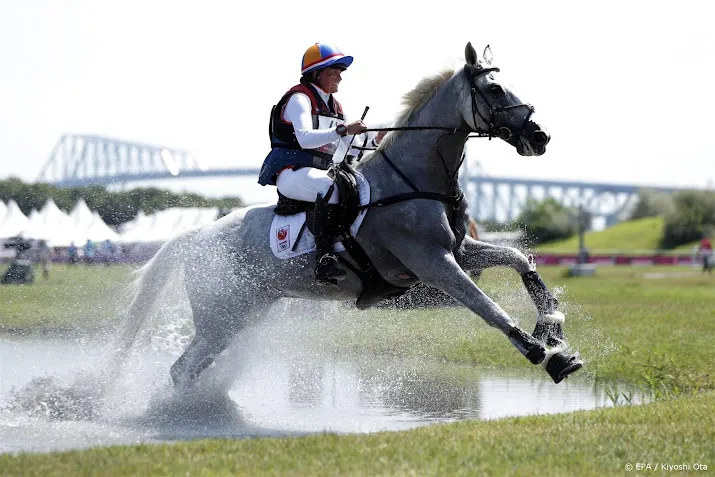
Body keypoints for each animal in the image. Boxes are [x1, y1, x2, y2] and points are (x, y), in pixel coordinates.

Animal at [112, 42, 580, 388]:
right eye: (496, 91)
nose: (541, 137)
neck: (415, 175)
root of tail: (194, 237)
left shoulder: (459, 251)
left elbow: (519, 260)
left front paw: (552, 324)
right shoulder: (433, 262)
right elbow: (487, 307)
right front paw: (547, 355)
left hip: (246, 310)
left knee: (191, 366)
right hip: (220, 315)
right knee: (182, 368)